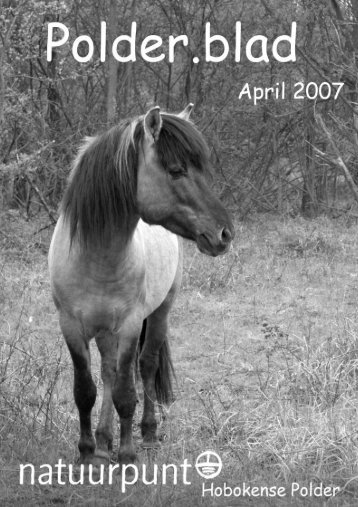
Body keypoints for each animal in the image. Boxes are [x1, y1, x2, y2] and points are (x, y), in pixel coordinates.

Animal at [49, 104, 235, 468]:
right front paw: (87, 452)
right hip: (105, 330)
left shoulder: (131, 324)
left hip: (161, 311)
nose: (224, 233)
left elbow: (126, 392)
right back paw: (104, 440)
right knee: (108, 371)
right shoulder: (71, 326)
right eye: (176, 170)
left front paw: (127, 455)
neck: (96, 257)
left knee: (146, 366)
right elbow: (85, 390)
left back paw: (147, 434)